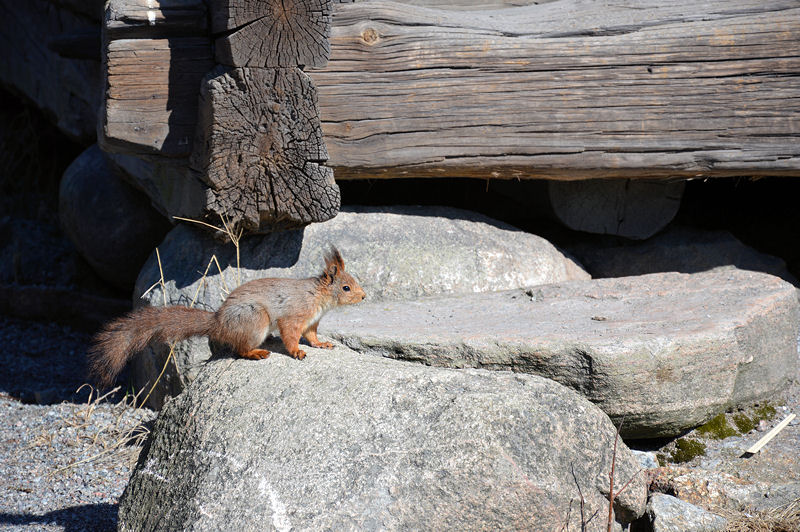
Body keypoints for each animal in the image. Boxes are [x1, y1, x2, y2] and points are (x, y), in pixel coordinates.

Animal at [90, 245, 366, 386]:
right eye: (346, 287)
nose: (364, 297)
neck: (318, 297)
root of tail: (218, 324)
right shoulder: (293, 316)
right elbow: (290, 335)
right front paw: (297, 351)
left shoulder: (311, 322)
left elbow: (312, 336)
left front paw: (323, 344)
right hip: (255, 320)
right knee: (240, 349)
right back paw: (256, 352)